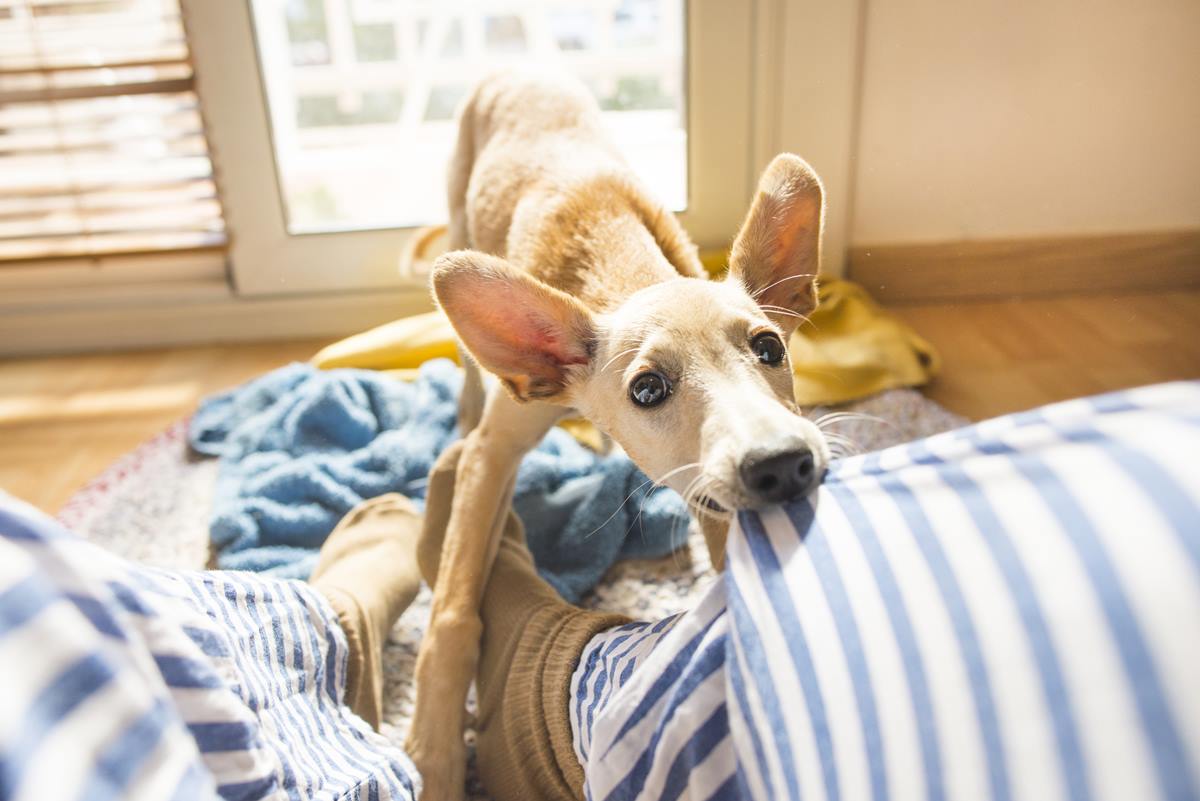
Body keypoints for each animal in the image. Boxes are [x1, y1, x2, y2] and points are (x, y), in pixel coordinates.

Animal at [403, 71, 825, 796]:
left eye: (769, 347)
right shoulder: (494, 452)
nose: (783, 464)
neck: (616, 264)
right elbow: (453, 610)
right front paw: (434, 752)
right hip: (459, 208)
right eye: (647, 389)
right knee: (466, 368)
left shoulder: (709, 491)